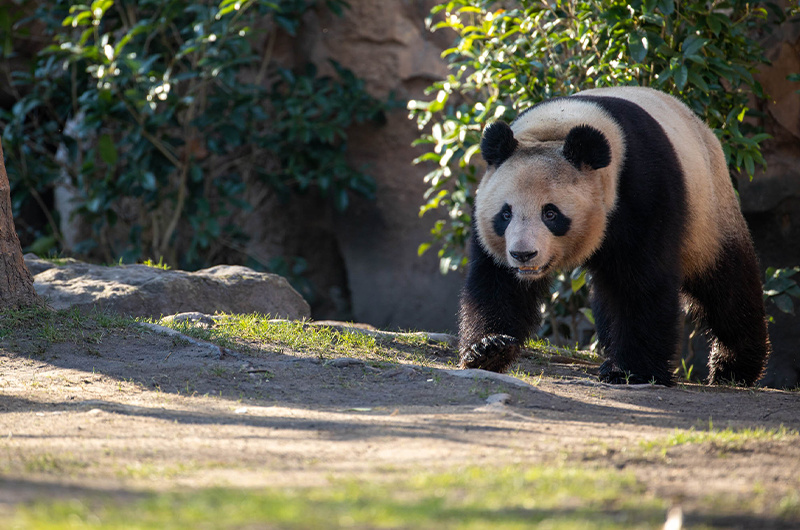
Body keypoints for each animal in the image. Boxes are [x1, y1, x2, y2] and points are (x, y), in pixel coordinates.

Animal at [460, 85, 772, 384]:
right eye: (505, 214)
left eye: (550, 214)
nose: (523, 255)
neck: (556, 128)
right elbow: (497, 282)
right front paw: (489, 348)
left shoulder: (642, 192)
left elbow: (641, 281)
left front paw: (631, 371)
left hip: (708, 212)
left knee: (727, 286)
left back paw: (734, 367)